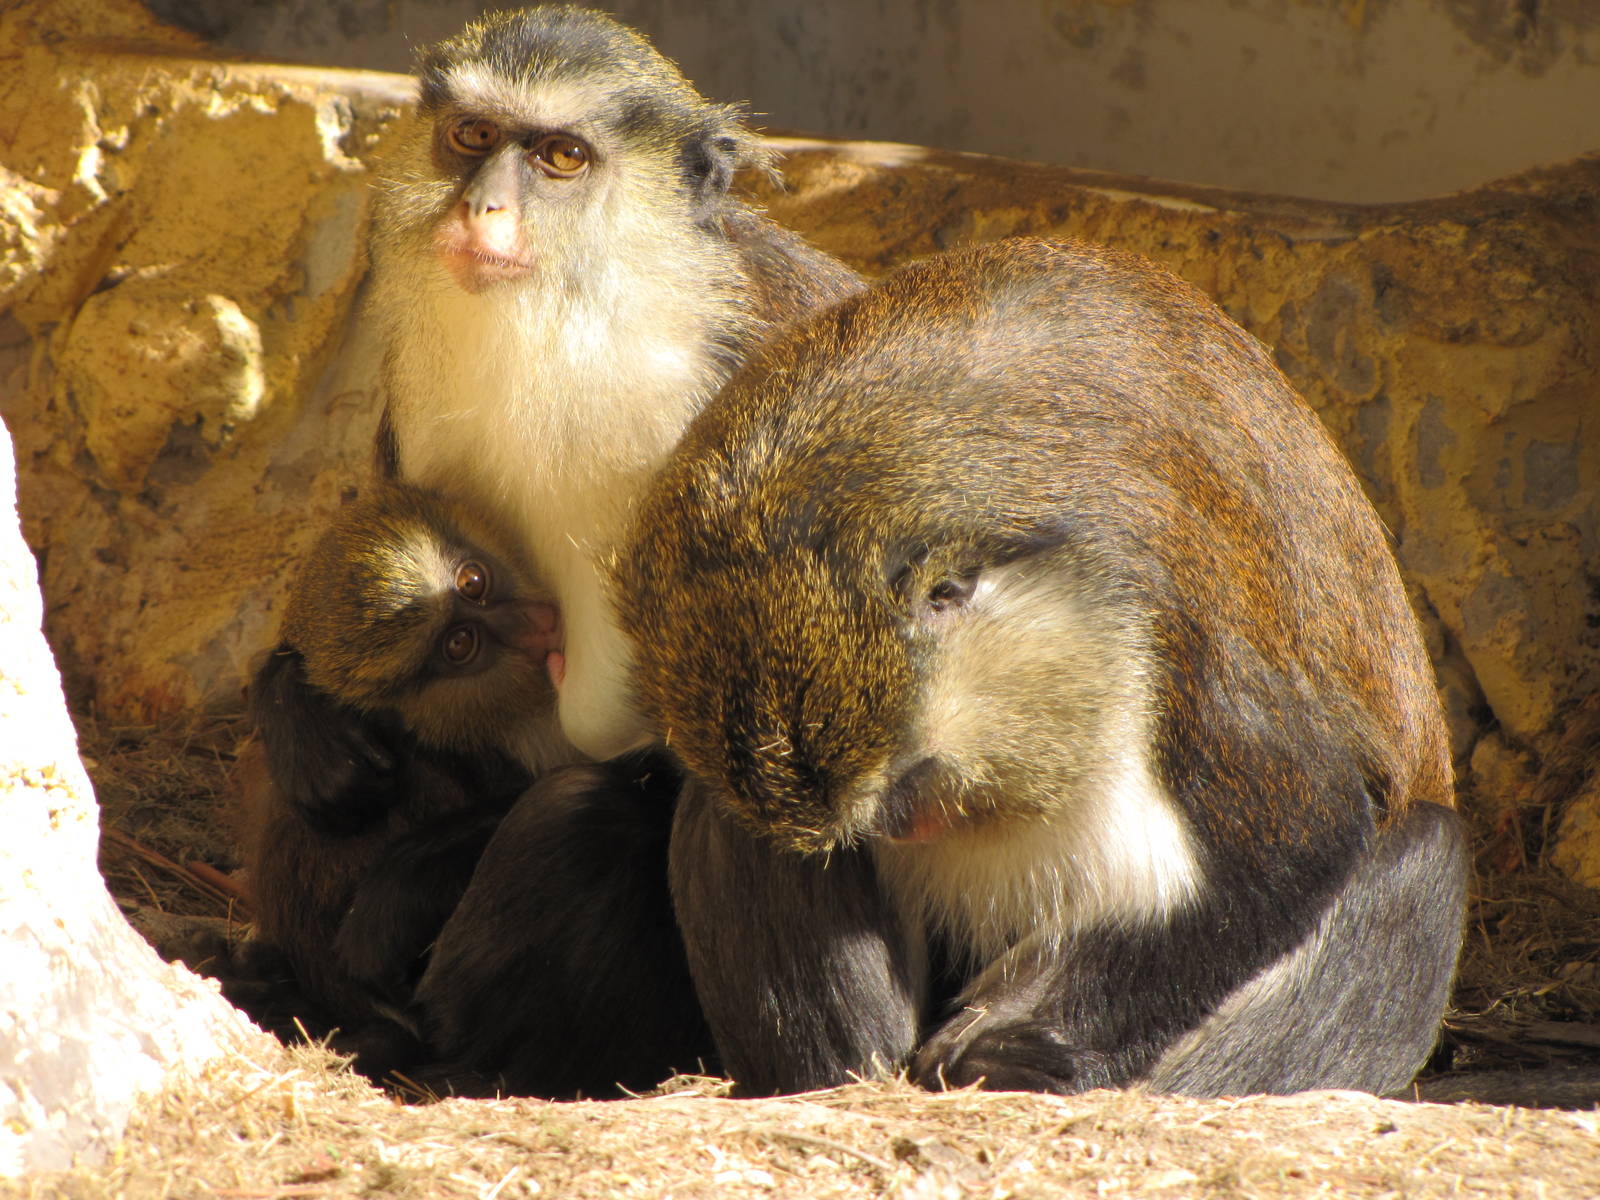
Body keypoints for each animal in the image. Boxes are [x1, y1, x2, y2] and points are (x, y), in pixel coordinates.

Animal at [616, 237, 1470, 1098]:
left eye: (914, 781)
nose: (903, 826)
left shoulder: (1185, 617)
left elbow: (1291, 842)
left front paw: (1010, 1046)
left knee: (1427, 857)